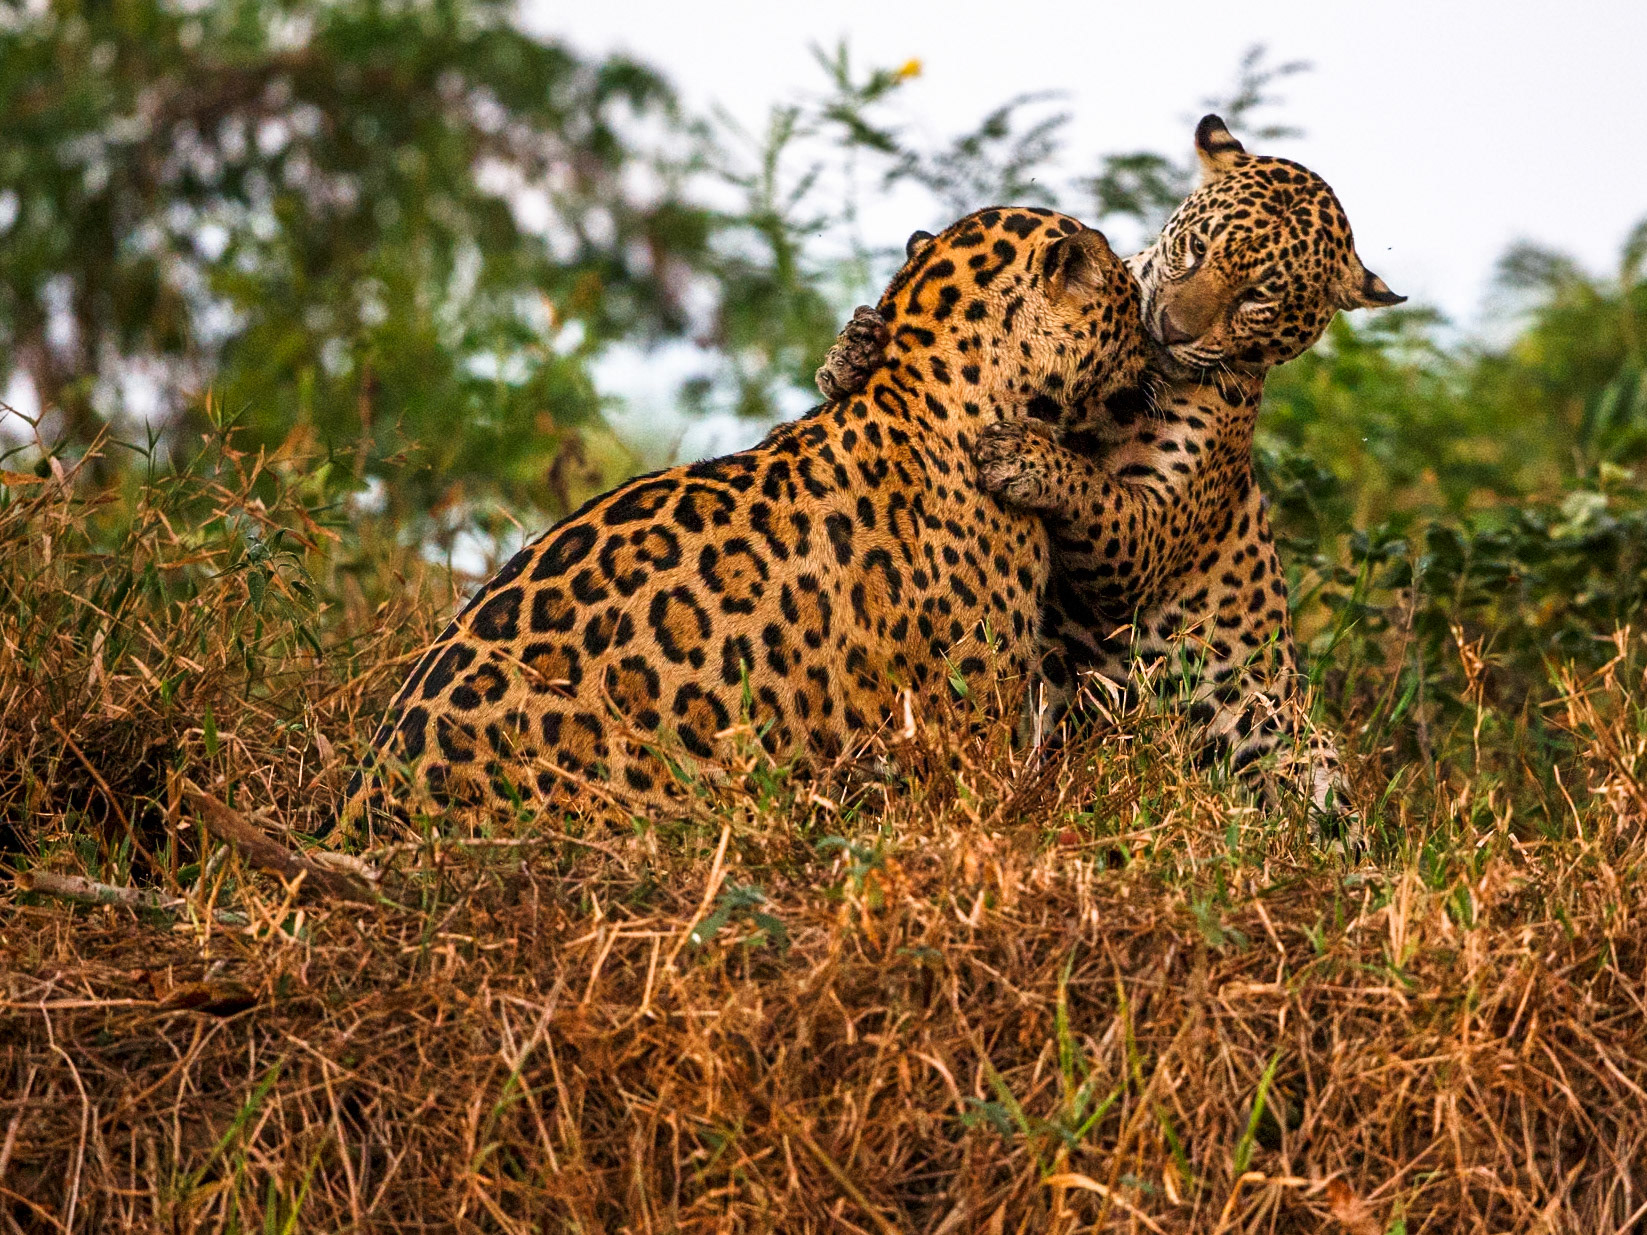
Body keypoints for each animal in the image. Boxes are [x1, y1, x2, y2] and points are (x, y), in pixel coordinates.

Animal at [814, 116, 1405, 840]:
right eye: (1195, 249)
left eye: (1259, 295)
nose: (1170, 329)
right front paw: (854, 349)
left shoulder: (1149, 533)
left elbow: (1101, 499)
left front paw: (1024, 458)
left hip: (1278, 729)